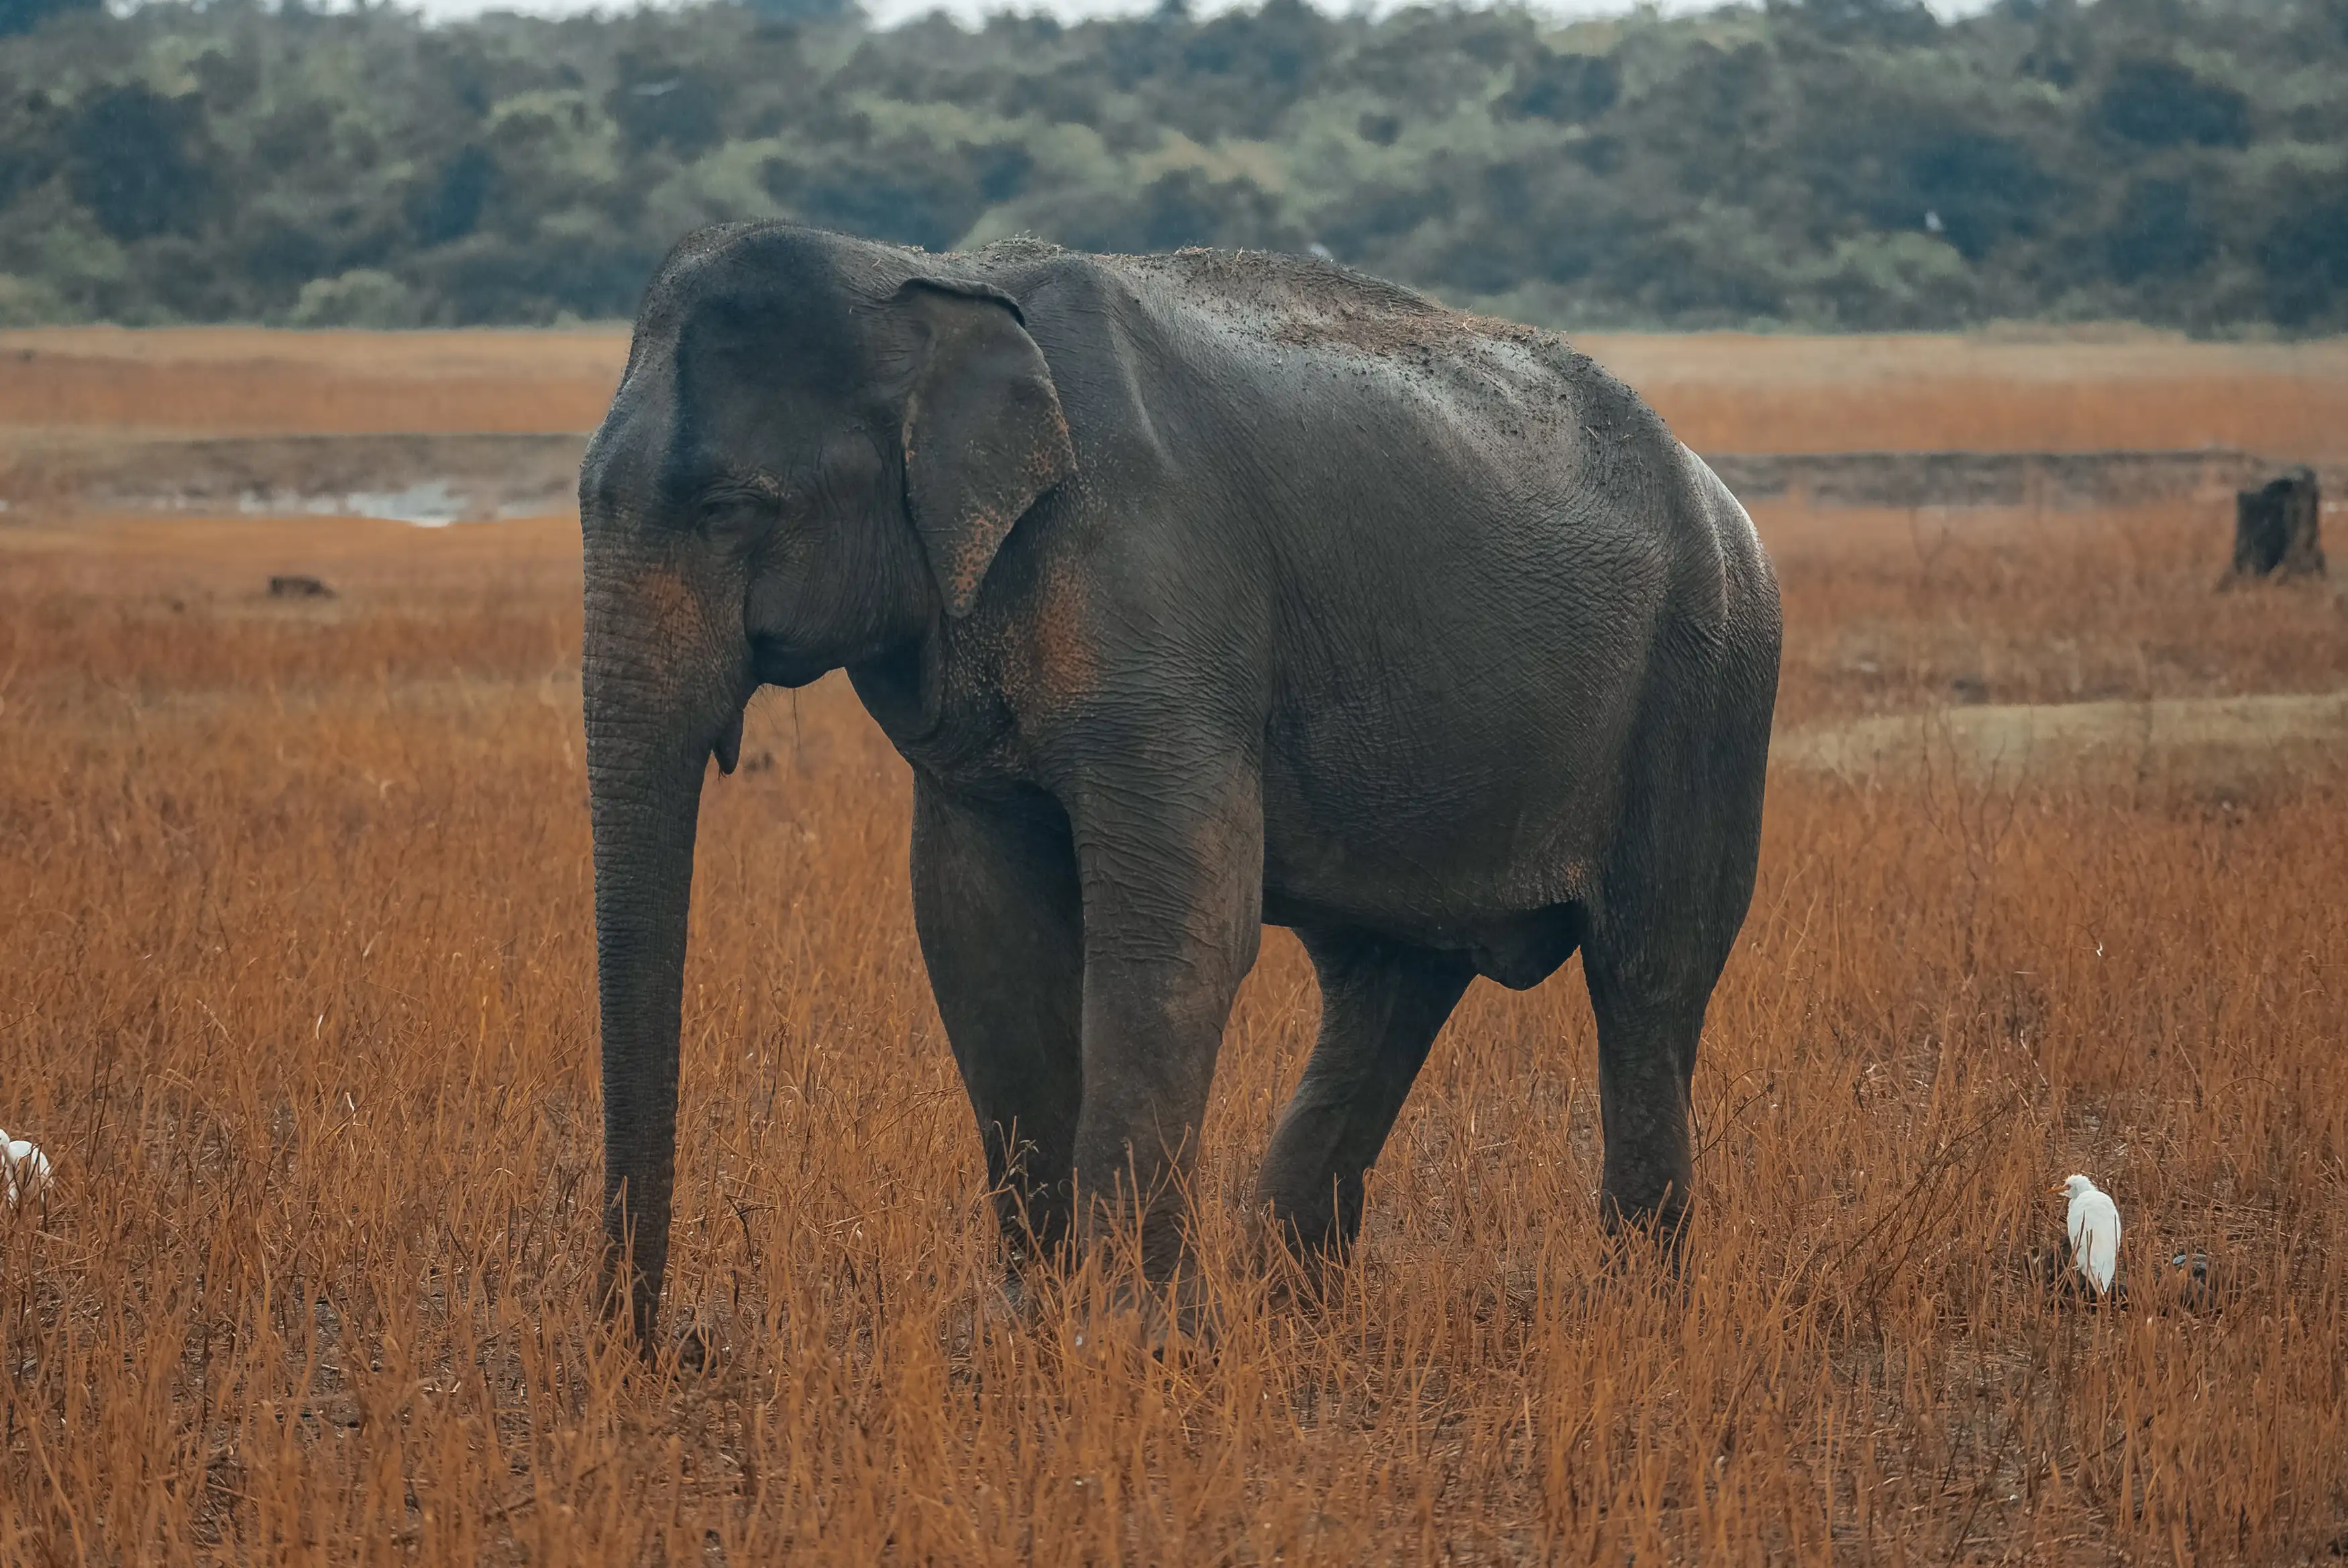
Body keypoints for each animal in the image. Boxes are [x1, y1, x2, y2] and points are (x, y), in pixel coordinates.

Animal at [580, 222, 1780, 1342]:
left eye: (728, 509)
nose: (661, 1341)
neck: (931, 277)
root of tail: (1720, 494)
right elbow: (979, 930)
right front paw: (1031, 1326)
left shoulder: (1161, 598)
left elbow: (1179, 927)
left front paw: (1129, 1338)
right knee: (1389, 984)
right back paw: (1289, 1310)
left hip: (1709, 685)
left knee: (1647, 978)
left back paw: (1636, 1312)